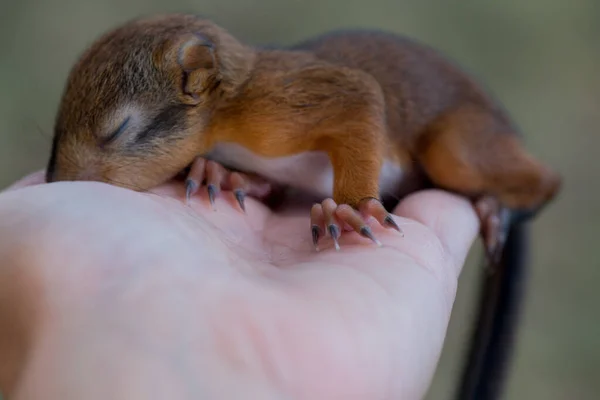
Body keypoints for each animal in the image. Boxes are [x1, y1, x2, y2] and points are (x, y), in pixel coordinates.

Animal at [47, 13, 564, 260]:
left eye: (117, 130)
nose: (56, 181)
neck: (224, 117)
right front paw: (224, 175)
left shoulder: (276, 106)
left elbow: (360, 94)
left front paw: (350, 209)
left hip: (458, 148)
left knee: (545, 182)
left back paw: (499, 207)